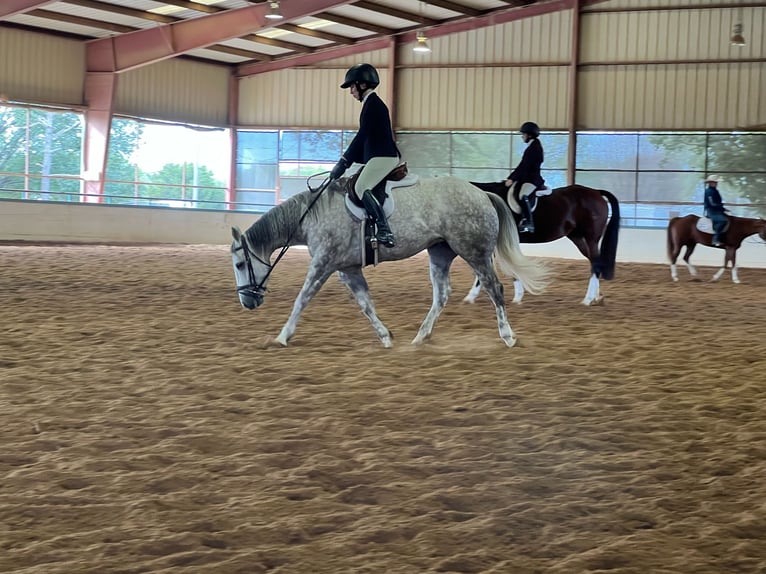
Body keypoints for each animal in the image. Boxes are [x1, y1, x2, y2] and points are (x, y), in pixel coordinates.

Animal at [231, 174, 548, 346]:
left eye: (239, 264)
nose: (247, 303)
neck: (311, 216)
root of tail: (482, 193)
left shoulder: (323, 263)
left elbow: (302, 299)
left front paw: (282, 337)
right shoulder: (347, 268)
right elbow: (366, 304)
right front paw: (385, 337)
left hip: (475, 251)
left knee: (495, 289)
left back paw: (507, 336)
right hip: (440, 253)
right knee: (442, 295)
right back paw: (420, 338)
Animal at [464, 184, 620, 306]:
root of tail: (596, 192)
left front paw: (470, 297)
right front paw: (518, 297)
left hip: (591, 238)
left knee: (595, 264)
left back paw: (587, 300)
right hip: (578, 238)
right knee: (596, 263)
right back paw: (596, 297)